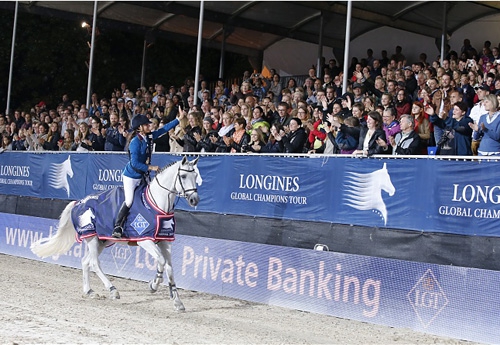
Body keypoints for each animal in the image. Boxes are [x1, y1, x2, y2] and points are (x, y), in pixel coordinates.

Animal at [30, 156, 199, 310]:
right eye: (184, 176)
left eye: (196, 176)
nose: (194, 200)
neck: (157, 203)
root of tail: (78, 202)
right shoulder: (144, 239)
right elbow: (161, 261)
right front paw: (153, 285)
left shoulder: (164, 241)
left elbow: (170, 267)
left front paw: (177, 301)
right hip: (91, 237)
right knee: (94, 263)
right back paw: (112, 290)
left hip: (101, 241)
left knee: (85, 261)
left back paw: (90, 291)